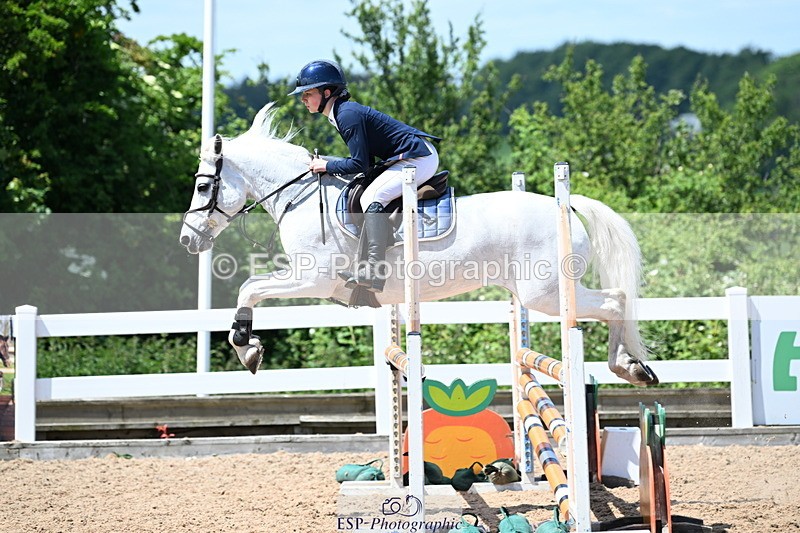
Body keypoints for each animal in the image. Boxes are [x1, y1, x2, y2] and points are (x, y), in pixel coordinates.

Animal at [179, 103, 658, 387]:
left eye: (203, 186)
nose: (188, 239)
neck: (300, 196)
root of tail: (566, 205)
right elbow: (250, 287)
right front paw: (250, 345)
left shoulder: (312, 280)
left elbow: (250, 287)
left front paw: (247, 348)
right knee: (614, 301)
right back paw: (633, 367)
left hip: (545, 292)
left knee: (614, 301)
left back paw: (628, 366)